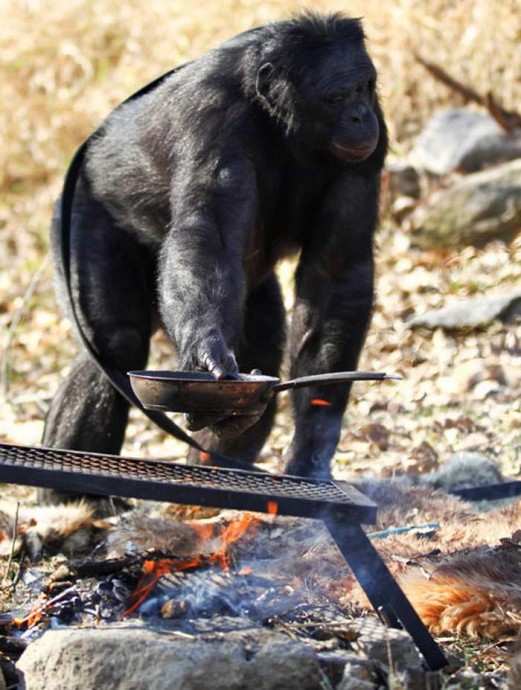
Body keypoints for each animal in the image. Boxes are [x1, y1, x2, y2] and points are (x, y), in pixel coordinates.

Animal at [42, 9, 386, 484]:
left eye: (363, 86)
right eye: (336, 97)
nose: (358, 115)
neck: (280, 124)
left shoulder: (373, 140)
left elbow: (336, 269)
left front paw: (312, 444)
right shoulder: (211, 118)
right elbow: (210, 234)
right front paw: (206, 359)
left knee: (260, 346)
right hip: (79, 209)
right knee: (116, 340)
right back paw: (72, 496)